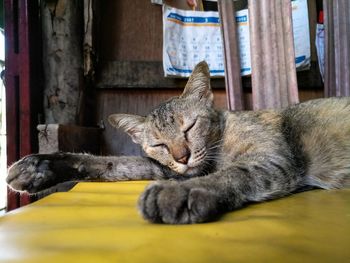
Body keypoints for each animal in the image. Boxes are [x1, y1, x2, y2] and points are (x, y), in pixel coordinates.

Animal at [5, 61, 350, 225]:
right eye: (159, 145)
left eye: (190, 127)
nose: (183, 156)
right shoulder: (164, 167)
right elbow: (110, 162)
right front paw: (41, 165)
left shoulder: (273, 158)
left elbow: (232, 173)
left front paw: (180, 193)